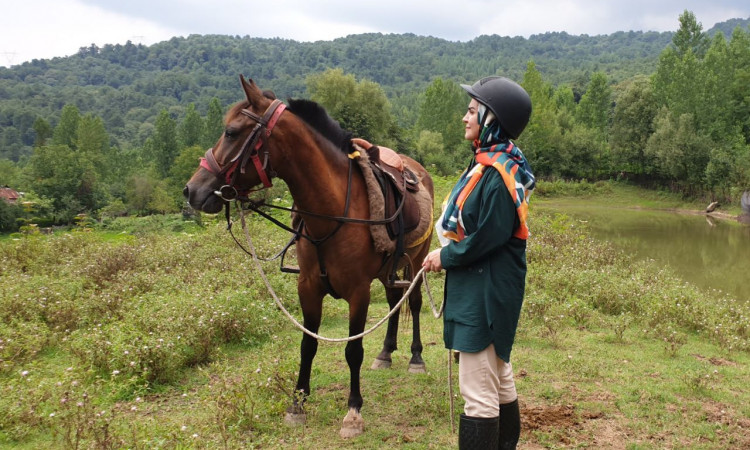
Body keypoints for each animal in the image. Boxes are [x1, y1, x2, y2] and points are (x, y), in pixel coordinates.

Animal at [183, 75, 438, 438]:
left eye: (231, 132)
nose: (192, 190)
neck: (331, 210)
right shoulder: (308, 287)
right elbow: (308, 344)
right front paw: (297, 403)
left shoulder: (358, 292)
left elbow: (353, 349)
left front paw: (353, 411)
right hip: (390, 268)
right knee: (393, 301)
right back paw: (386, 353)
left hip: (417, 261)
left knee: (412, 303)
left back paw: (416, 358)